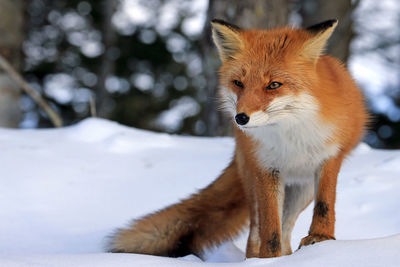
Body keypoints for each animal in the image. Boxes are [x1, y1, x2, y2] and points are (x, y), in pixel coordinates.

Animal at [107, 19, 368, 260]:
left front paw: (321, 239)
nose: (240, 118)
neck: (290, 136)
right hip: (255, 182)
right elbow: (270, 230)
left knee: (286, 227)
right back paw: (258, 258)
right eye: (238, 83)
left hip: (302, 190)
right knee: (258, 231)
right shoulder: (266, 168)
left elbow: (324, 206)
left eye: (274, 85)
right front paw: (269, 260)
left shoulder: (329, 158)